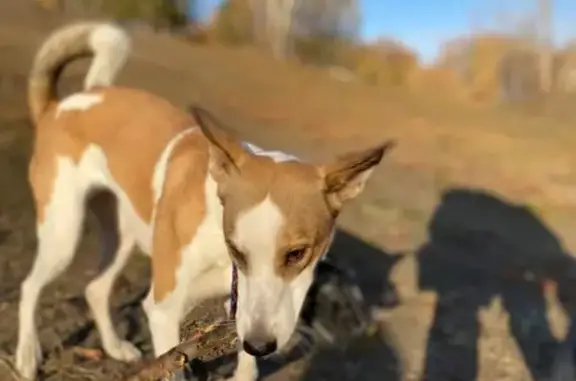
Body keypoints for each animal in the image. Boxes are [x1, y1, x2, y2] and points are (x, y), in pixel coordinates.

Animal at [15, 21, 396, 380]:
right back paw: (26, 355)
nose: (261, 344)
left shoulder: (244, 313)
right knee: (30, 286)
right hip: (63, 235)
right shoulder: (164, 312)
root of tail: (64, 104)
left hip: (121, 235)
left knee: (95, 289)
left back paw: (114, 347)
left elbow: (247, 364)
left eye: (297, 254)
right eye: (236, 250)